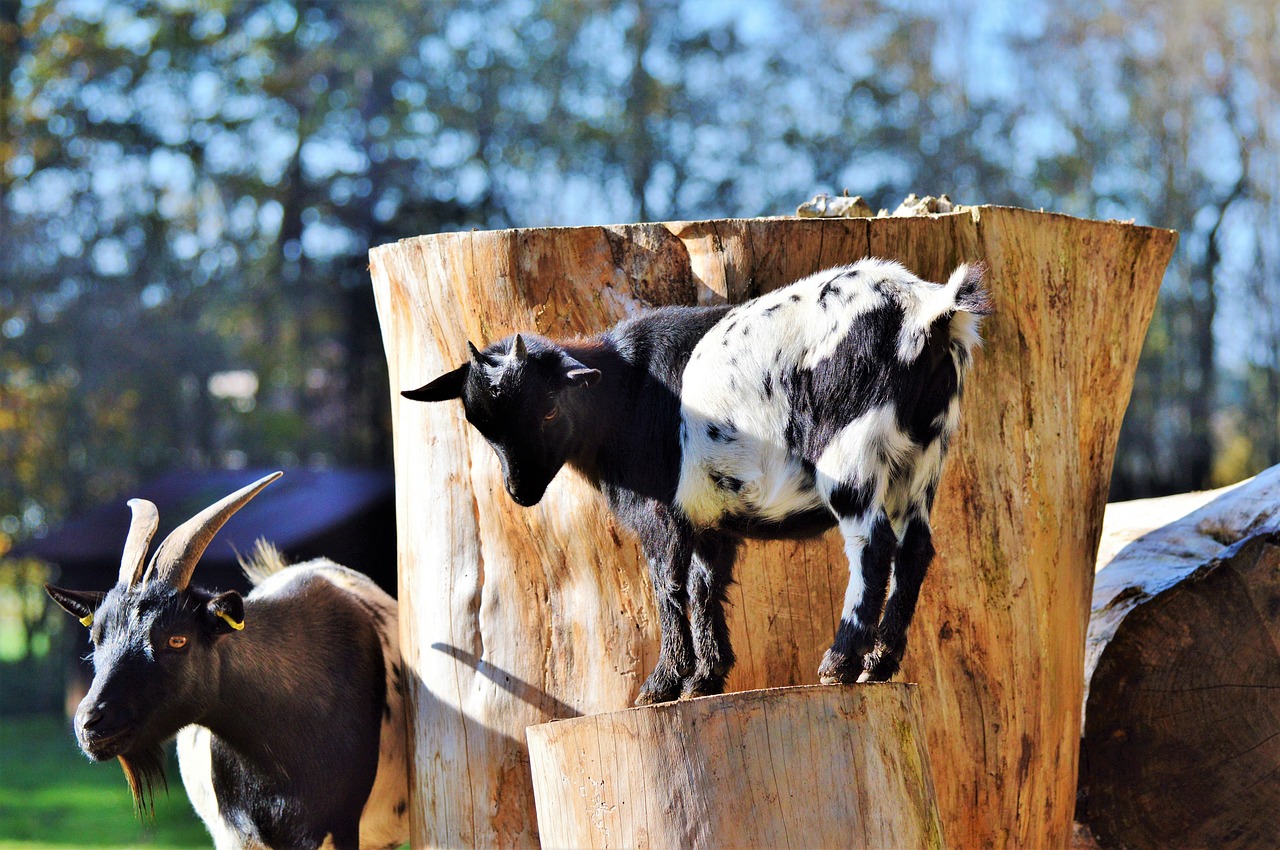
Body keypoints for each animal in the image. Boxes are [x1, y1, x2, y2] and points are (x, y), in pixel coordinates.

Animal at [407, 258, 988, 701]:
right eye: (480, 425)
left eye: (548, 409)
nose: (519, 492)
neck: (623, 392)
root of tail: (926, 310)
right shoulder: (708, 516)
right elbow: (703, 585)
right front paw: (704, 679)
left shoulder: (660, 512)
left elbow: (667, 584)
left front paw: (661, 686)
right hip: (922, 461)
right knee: (915, 550)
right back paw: (879, 664)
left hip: (850, 454)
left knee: (873, 545)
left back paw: (840, 663)